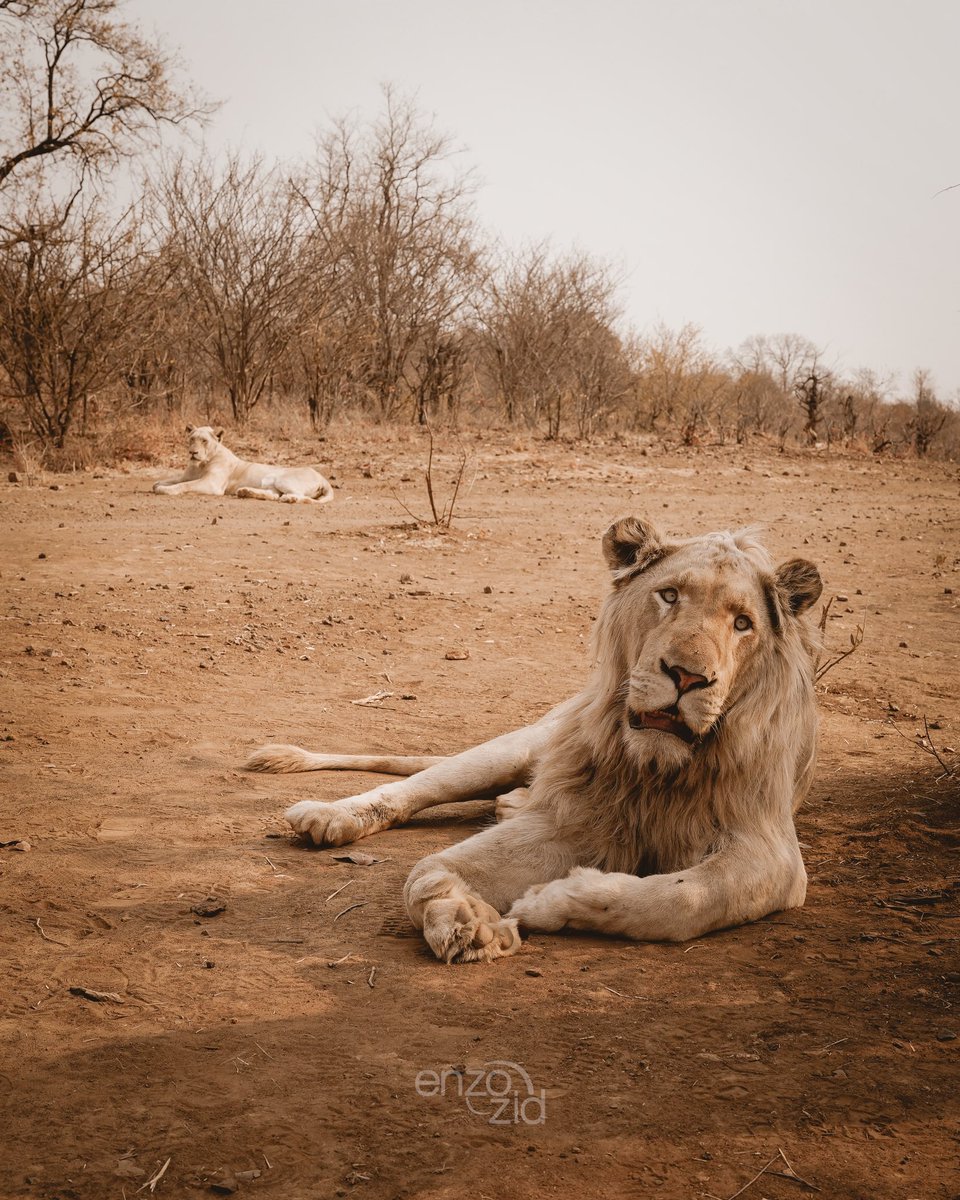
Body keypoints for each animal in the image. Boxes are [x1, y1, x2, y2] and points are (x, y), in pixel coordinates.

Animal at [153, 426, 334, 504]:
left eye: (204, 441)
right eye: (192, 439)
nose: (192, 452)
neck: (200, 464)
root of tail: (323, 478)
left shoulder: (211, 485)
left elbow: (185, 485)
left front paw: (165, 490)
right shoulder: (186, 476)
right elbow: (165, 481)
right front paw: (159, 485)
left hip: (282, 479)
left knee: (297, 495)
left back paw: (289, 498)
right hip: (270, 482)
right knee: (273, 495)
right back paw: (245, 492)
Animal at [247, 517, 823, 964]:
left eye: (743, 624)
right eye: (669, 595)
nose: (686, 676)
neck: (656, 768)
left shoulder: (771, 853)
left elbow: (682, 899)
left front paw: (552, 900)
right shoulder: (573, 818)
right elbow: (425, 870)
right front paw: (463, 917)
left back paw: (511, 804)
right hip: (514, 748)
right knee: (417, 786)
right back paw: (330, 816)